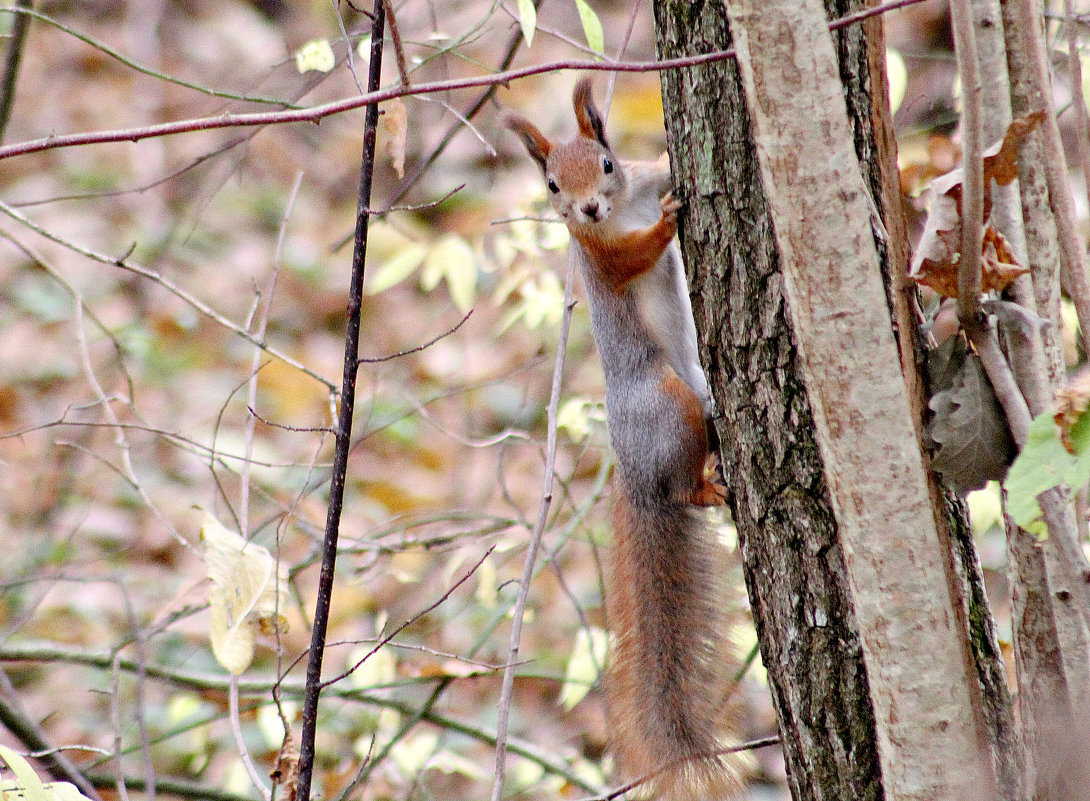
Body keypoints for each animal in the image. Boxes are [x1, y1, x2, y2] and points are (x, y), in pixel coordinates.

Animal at [503, 76, 741, 801]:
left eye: (606, 163)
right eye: (551, 184)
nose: (586, 206)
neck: (619, 212)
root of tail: (634, 475)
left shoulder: (638, 181)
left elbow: (658, 170)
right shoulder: (602, 259)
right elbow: (635, 254)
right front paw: (665, 222)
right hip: (669, 404)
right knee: (682, 489)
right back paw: (705, 486)